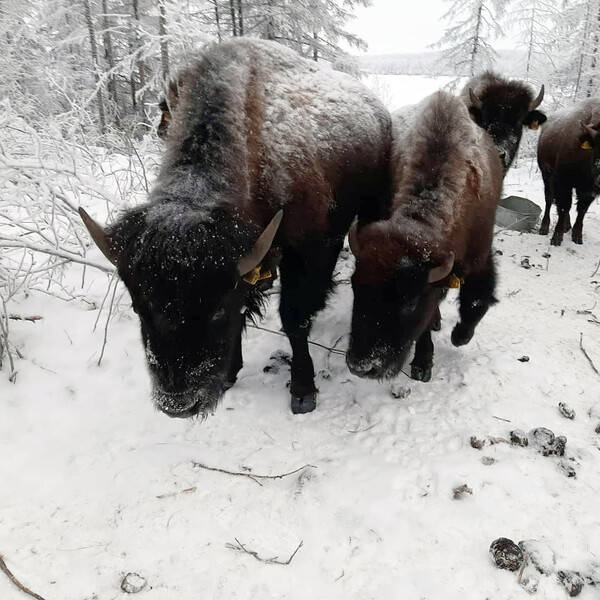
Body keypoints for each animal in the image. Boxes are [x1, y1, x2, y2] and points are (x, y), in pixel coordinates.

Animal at [79, 37, 392, 418]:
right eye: (140, 307)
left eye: (216, 309)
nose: (178, 404)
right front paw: (230, 373)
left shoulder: (307, 251)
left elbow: (293, 317)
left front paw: (303, 392)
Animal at [344, 92, 504, 384]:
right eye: (354, 287)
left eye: (410, 303)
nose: (361, 366)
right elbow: (427, 323)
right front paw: (423, 364)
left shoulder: (480, 257)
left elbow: (477, 299)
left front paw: (459, 337)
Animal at [536, 98, 600, 246]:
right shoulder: (563, 182)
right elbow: (564, 207)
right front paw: (556, 238)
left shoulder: (589, 190)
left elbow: (581, 210)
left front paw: (577, 236)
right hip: (546, 175)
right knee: (549, 199)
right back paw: (544, 228)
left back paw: (567, 226)